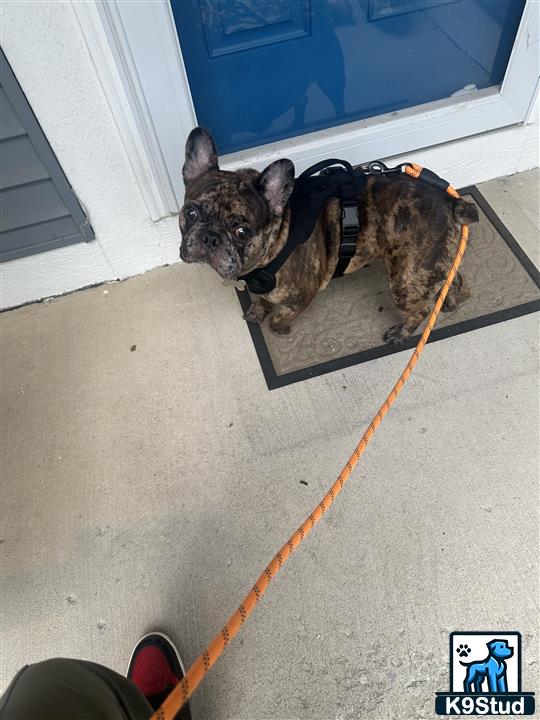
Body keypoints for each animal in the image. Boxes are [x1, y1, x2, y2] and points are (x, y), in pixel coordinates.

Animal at [179, 126, 478, 344]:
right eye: (190, 212)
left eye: (242, 231)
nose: (210, 238)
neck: (277, 239)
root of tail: (451, 203)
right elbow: (262, 300)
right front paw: (257, 311)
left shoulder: (301, 298)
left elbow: (278, 318)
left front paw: (281, 329)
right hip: (429, 266)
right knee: (453, 276)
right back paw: (451, 299)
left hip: (406, 281)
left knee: (422, 308)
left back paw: (402, 332)